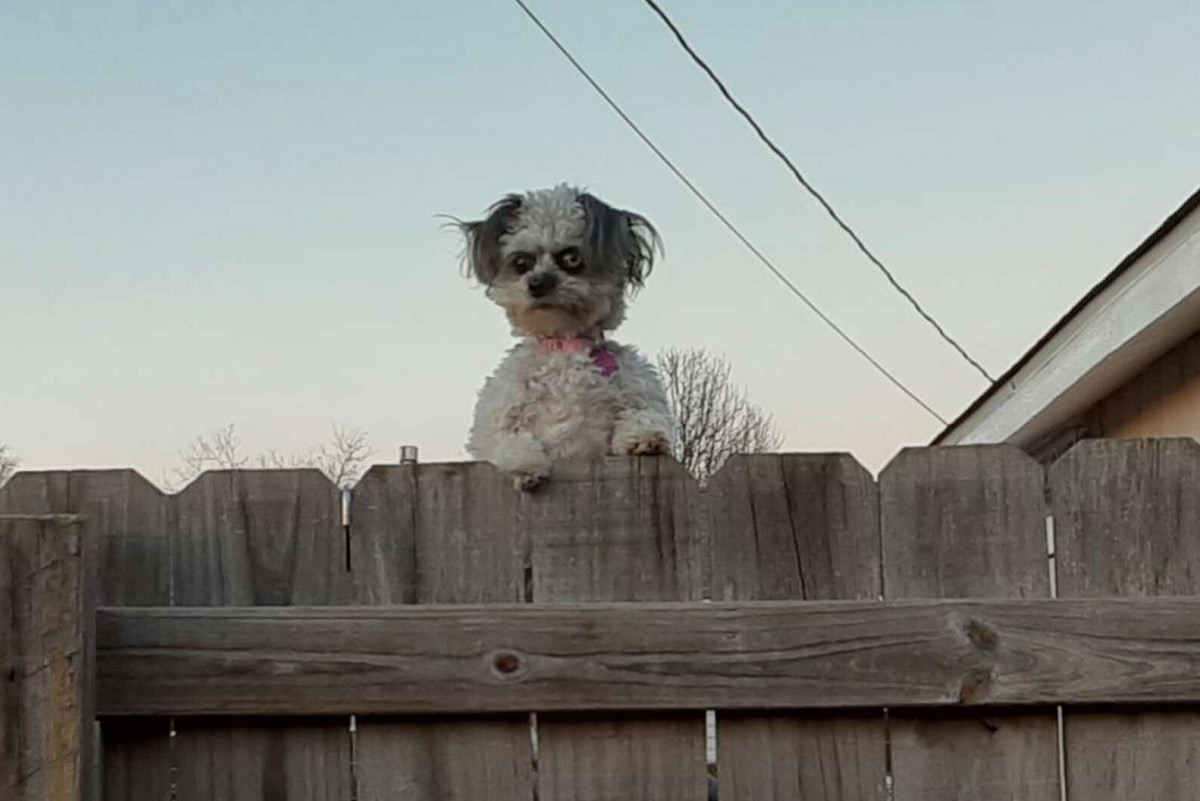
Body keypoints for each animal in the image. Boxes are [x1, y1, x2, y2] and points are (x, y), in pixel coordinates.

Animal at [453, 184, 676, 491]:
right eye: (521, 262)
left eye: (572, 258)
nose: (538, 283)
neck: (565, 345)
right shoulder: (495, 421)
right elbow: (507, 440)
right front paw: (526, 465)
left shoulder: (639, 392)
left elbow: (646, 415)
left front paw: (644, 437)